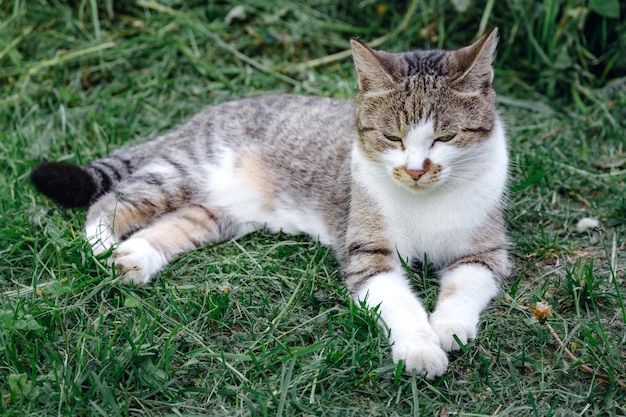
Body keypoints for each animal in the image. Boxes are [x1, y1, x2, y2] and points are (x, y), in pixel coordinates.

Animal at [30, 28, 508, 380]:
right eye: (393, 137)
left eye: (445, 137)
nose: (414, 171)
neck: (424, 200)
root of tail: (204, 114)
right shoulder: (367, 253)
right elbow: (399, 302)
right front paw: (420, 348)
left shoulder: (488, 252)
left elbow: (465, 288)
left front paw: (448, 329)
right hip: (184, 172)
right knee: (111, 200)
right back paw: (101, 243)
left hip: (216, 213)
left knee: (169, 226)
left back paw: (134, 259)